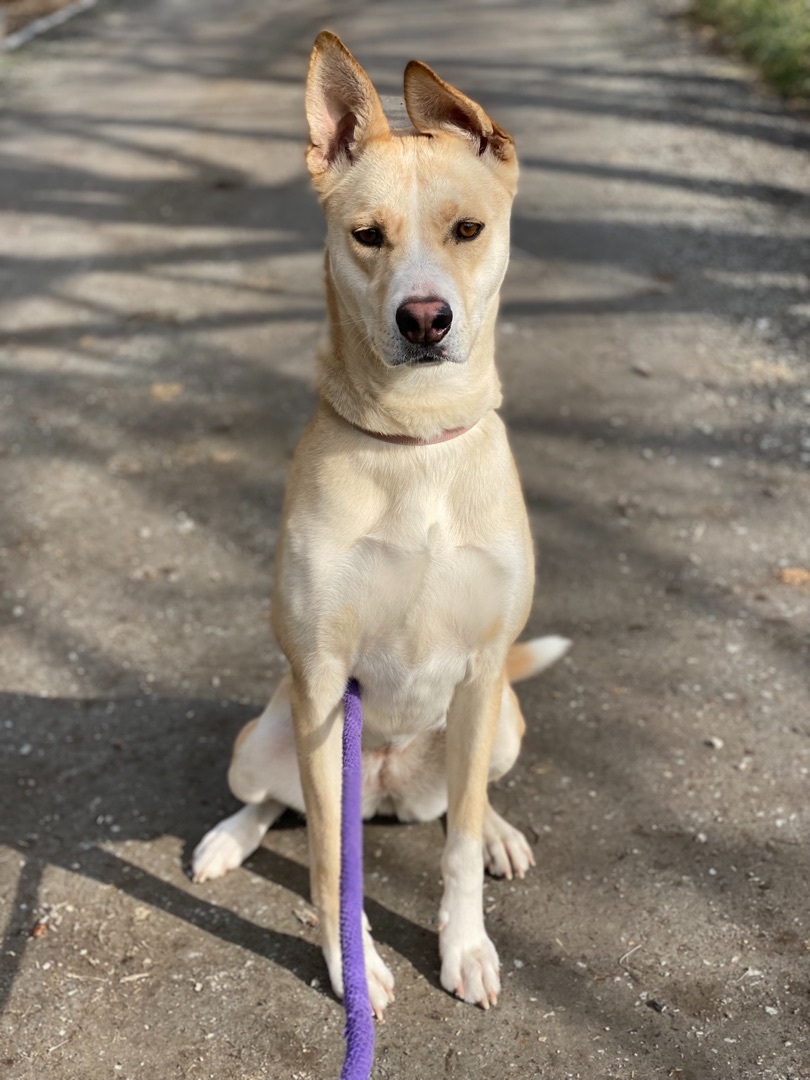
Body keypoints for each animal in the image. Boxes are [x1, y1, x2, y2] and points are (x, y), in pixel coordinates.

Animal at [192, 29, 570, 1015]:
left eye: (467, 230)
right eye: (367, 236)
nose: (425, 318)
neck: (415, 442)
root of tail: (392, 789)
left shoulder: (479, 670)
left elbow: (459, 847)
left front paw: (465, 946)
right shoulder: (326, 682)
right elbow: (330, 859)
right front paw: (349, 965)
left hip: (502, 721)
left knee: (466, 804)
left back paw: (503, 831)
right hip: (270, 737)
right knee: (278, 801)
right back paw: (226, 838)